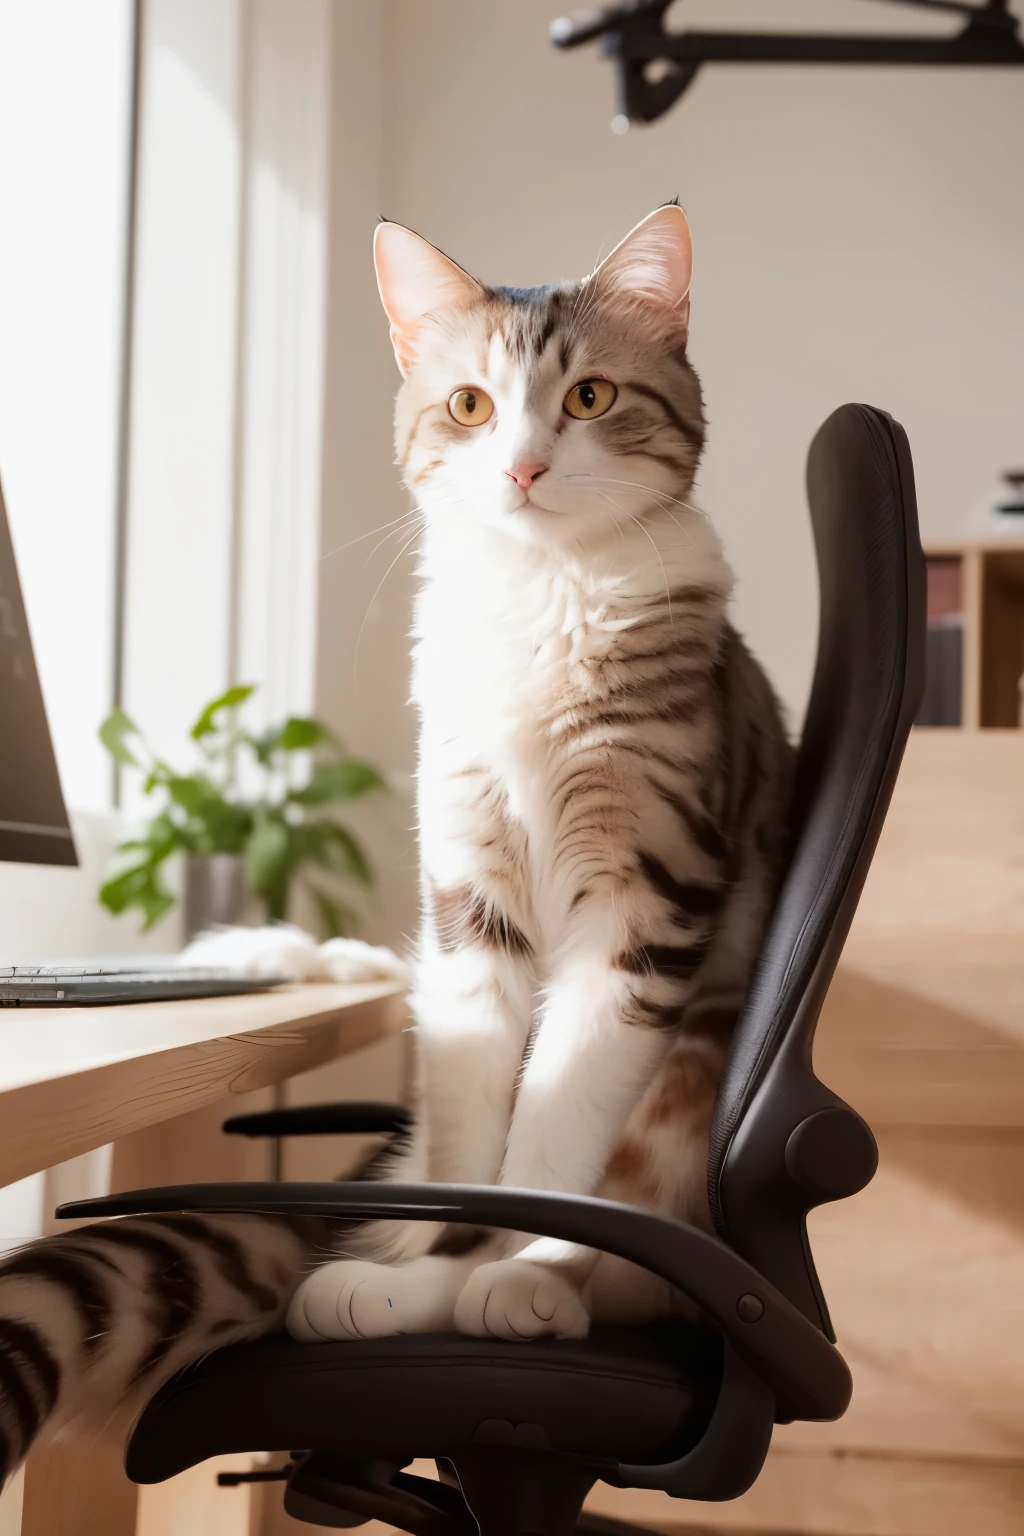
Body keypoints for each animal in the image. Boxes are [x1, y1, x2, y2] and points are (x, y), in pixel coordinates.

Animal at [0, 204, 792, 1486]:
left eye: (588, 397)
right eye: (470, 405)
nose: (520, 467)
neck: (538, 600)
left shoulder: (648, 902)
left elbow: (559, 1129)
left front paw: (512, 1273)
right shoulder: (470, 906)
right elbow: (478, 1134)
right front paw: (442, 1270)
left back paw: (532, 1296)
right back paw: (371, 1282)